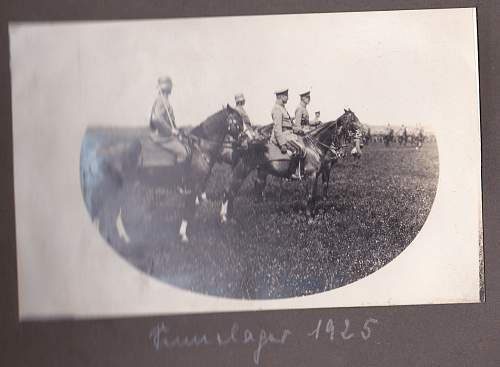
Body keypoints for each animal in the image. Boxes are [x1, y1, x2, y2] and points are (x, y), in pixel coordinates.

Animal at [221, 108, 362, 224]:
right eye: (353, 120)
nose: (361, 131)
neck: (314, 146)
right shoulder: (312, 175)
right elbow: (310, 195)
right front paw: (309, 218)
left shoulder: (317, 175)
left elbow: (314, 194)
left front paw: (313, 214)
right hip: (242, 170)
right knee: (230, 191)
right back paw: (226, 218)